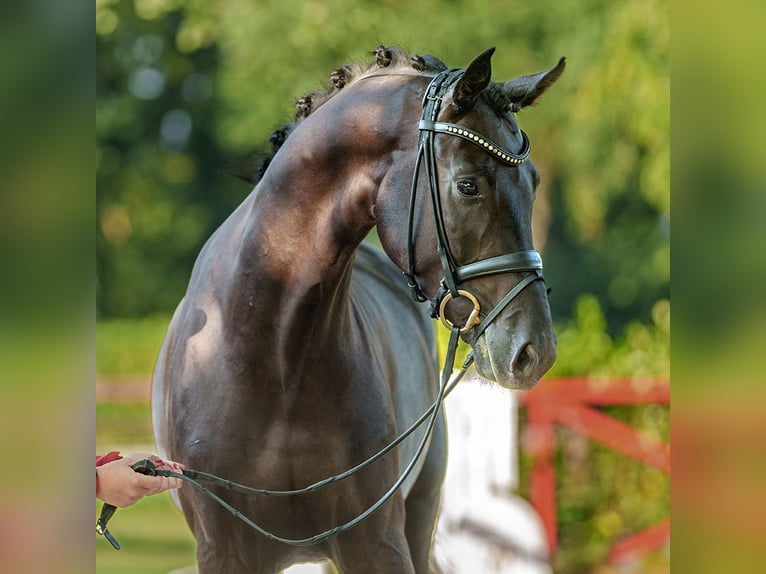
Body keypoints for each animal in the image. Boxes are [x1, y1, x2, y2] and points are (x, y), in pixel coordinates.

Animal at [154, 46, 564, 574]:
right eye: (468, 186)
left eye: (533, 182)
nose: (535, 351)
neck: (272, 349)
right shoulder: (225, 552)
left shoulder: (376, 541)